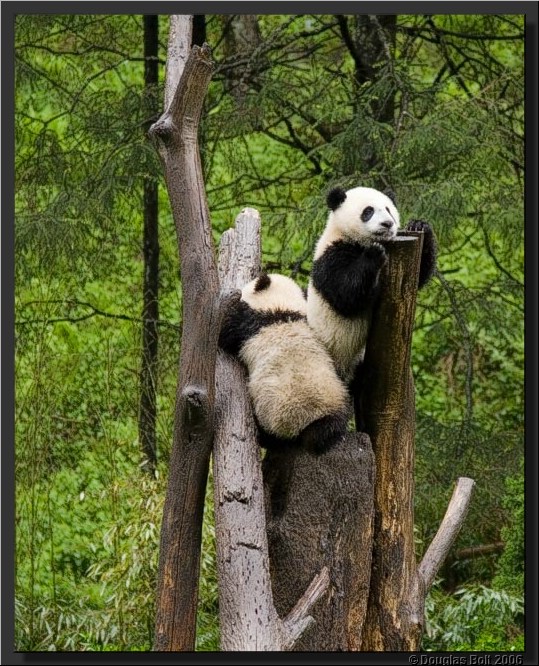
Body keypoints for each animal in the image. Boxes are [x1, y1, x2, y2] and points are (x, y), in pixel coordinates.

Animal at [219, 272, 350, 454]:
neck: (283, 309)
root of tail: (308, 420)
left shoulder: (249, 323)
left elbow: (226, 332)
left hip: (271, 412)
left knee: (271, 437)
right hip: (336, 400)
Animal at [307, 185, 437, 386]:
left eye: (388, 209)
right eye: (368, 211)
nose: (387, 224)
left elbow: (420, 275)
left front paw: (419, 225)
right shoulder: (331, 256)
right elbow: (346, 295)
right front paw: (374, 254)